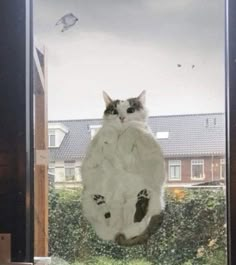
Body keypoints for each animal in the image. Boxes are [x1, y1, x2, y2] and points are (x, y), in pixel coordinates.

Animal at [81, 91, 166, 245]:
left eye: (130, 110)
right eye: (114, 111)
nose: (121, 118)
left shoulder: (131, 159)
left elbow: (133, 129)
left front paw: (122, 141)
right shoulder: (95, 157)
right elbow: (107, 135)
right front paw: (110, 138)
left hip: (148, 198)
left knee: (137, 221)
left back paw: (142, 199)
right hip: (91, 198)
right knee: (106, 221)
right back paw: (102, 203)